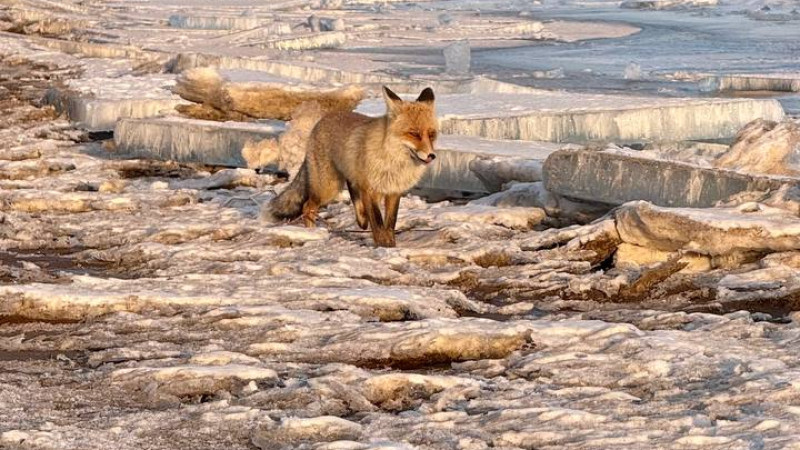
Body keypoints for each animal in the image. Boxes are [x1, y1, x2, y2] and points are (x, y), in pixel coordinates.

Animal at [268, 86, 438, 248]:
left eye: (431, 134)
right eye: (414, 134)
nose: (431, 156)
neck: (393, 161)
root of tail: (321, 121)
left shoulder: (393, 192)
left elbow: (390, 224)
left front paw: (390, 246)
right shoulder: (370, 190)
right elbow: (378, 224)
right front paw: (383, 246)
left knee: (352, 191)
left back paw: (359, 218)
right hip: (328, 188)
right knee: (307, 206)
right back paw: (312, 233)